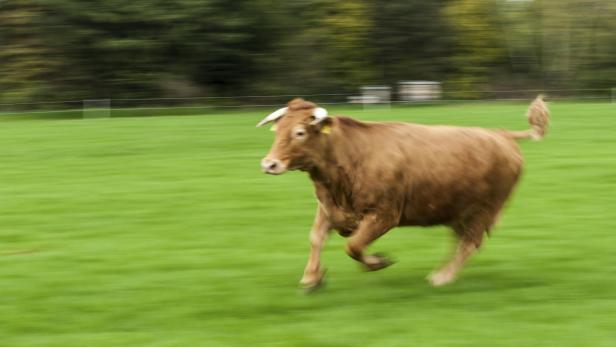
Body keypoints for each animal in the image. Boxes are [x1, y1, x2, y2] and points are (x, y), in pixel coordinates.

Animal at [255, 96, 548, 290]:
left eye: (300, 132)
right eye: (277, 130)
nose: (269, 164)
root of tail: (501, 135)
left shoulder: (385, 214)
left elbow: (354, 246)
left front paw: (377, 262)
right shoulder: (330, 208)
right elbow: (316, 238)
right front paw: (312, 277)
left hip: (485, 208)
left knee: (470, 242)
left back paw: (442, 277)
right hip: (458, 210)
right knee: (462, 240)